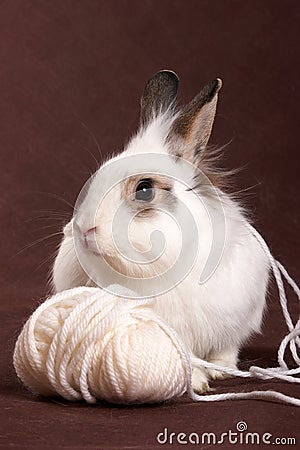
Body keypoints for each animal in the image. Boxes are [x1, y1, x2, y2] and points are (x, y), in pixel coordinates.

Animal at [51, 69, 270, 390]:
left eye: (144, 189)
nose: (84, 230)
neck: (152, 270)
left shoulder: (234, 317)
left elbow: (224, 349)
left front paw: (215, 374)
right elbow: (184, 358)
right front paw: (197, 382)